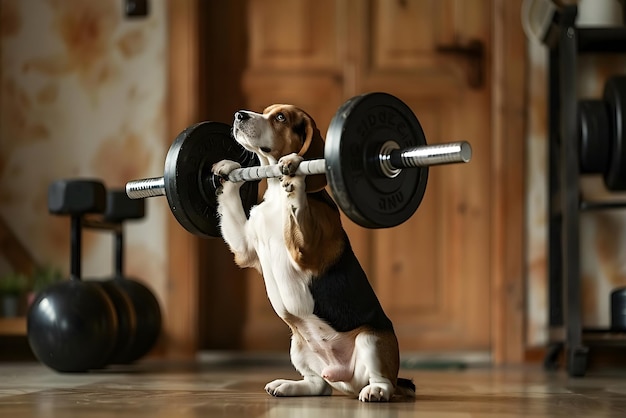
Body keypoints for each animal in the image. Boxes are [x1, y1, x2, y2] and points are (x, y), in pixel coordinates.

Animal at [211, 103, 414, 400]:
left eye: (281, 117)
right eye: (266, 111)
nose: (239, 115)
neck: (276, 195)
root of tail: (345, 379)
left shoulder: (307, 252)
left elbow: (297, 204)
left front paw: (294, 171)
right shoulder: (245, 248)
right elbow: (230, 202)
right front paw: (227, 170)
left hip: (372, 339)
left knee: (382, 380)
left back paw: (376, 391)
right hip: (297, 345)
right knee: (319, 386)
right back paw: (288, 386)